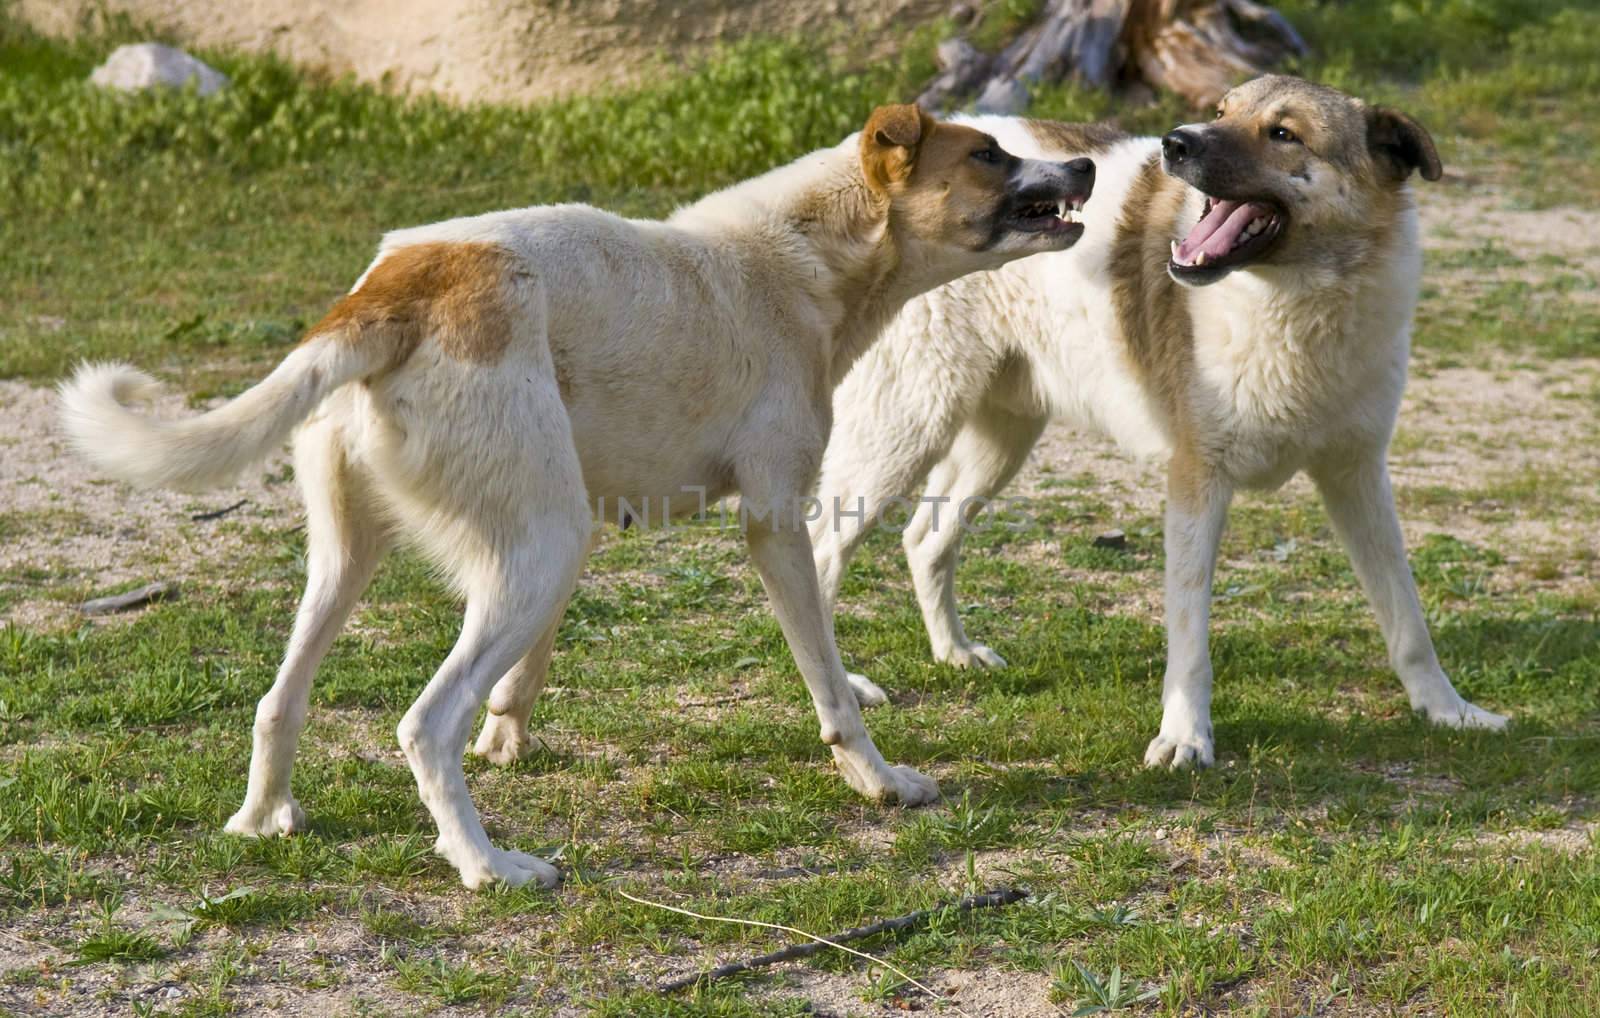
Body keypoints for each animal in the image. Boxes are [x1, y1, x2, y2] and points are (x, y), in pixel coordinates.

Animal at [56, 105, 1094, 889]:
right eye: (989, 153)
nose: (1086, 161)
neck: (801, 256)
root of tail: (399, 281)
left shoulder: (579, 527)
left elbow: (523, 679)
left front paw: (507, 742)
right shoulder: (773, 528)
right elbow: (834, 689)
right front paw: (878, 783)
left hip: (374, 557)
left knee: (280, 702)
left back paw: (263, 818)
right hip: (534, 549)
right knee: (424, 725)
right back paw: (485, 867)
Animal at [819, 75, 1504, 768]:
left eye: (1284, 133)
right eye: (1222, 111)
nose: (1176, 142)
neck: (1295, 302)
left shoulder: (1357, 475)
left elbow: (1407, 616)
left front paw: (1447, 710)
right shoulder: (1197, 482)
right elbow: (1190, 638)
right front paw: (1185, 737)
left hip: (998, 441)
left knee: (923, 540)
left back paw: (955, 653)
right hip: (902, 433)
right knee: (823, 551)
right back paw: (846, 685)